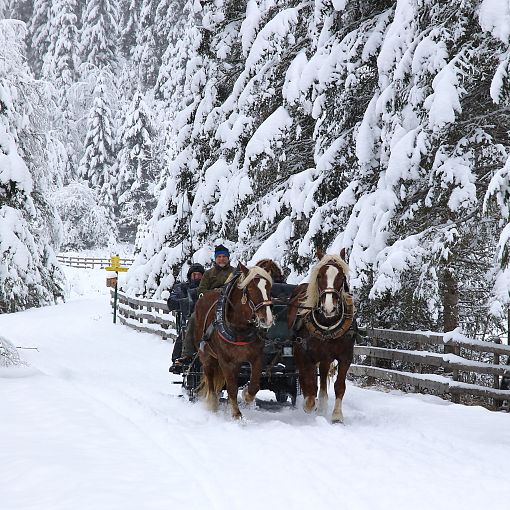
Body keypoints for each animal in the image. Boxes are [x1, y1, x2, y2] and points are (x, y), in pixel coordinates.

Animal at [193, 262, 272, 418]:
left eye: (269, 288)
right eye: (251, 289)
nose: (267, 319)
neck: (240, 328)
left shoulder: (257, 356)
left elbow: (254, 385)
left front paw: (247, 395)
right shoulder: (225, 360)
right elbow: (231, 387)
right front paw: (236, 414)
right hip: (206, 355)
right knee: (210, 377)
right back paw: (213, 403)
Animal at [286, 250, 354, 422]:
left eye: (341, 277)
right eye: (320, 276)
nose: (329, 307)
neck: (327, 324)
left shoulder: (345, 356)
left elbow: (339, 386)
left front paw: (337, 415)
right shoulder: (303, 354)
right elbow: (309, 382)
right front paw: (309, 405)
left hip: (325, 357)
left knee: (322, 376)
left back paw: (322, 405)